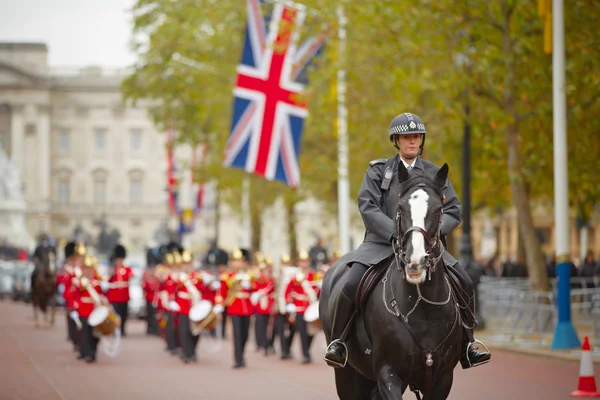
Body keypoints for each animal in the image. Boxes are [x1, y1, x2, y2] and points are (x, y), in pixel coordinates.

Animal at [322, 163, 462, 400]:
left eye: (438, 209)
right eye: (401, 208)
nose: (415, 261)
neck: (422, 307)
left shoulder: (443, 379)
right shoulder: (388, 374)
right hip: (347, 375)